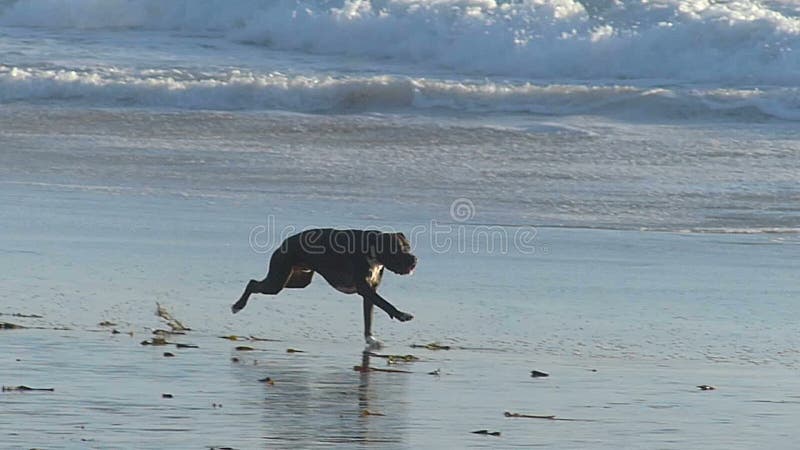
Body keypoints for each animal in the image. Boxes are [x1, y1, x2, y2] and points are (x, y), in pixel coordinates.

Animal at [231, 229, 416, 348]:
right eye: (397, 250)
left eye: (408, 247)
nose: (414, 259)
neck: (371, 248)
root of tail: (285, 241)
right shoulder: (365, 289)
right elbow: (385, 304)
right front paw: (401, 315)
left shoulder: (370, 292)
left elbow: (368, 319)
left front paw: (370, 339)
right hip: (277, 282)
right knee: (252, 283)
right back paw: (238, 306)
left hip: (297, 281)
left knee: (256, 283)